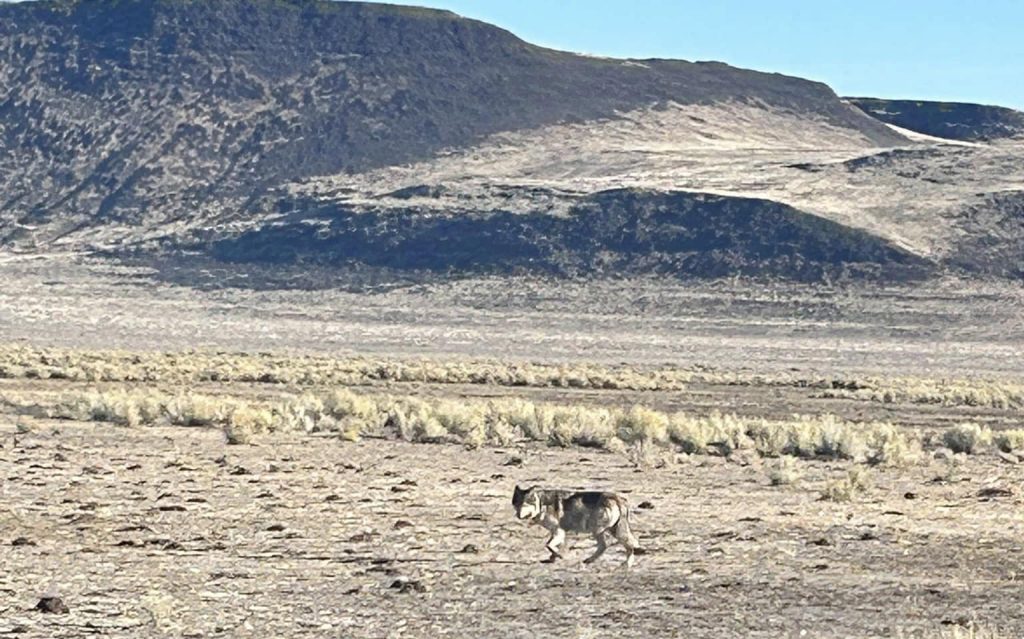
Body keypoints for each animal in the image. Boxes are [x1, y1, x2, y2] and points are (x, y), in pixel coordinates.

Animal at [511, 485, 641, 567]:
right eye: (517, 504)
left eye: (525, 504)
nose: (518, 515)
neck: (542, 504)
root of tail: (618, 499)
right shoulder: (557, 533)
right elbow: (552, 546)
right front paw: (554, 558)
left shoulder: (559, 531)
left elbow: (548, 545)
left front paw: (559, 555)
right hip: (609, 530)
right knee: (614, 546)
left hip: (602, 531)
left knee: (615, 546)